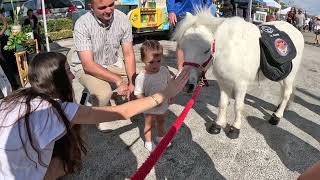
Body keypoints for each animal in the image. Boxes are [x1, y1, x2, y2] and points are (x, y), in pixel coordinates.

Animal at [174, 10, 304, 139]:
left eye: (207, 50)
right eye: (183, 48)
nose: (186, 85)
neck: (230, 50)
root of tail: (297, 31)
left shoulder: (241, 85)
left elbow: (238, 106)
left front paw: (235, 128)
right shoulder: (223, 83)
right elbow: (223, 103)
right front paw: (218, 125)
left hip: (289, 76)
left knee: (287, 93)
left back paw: (276, 116)